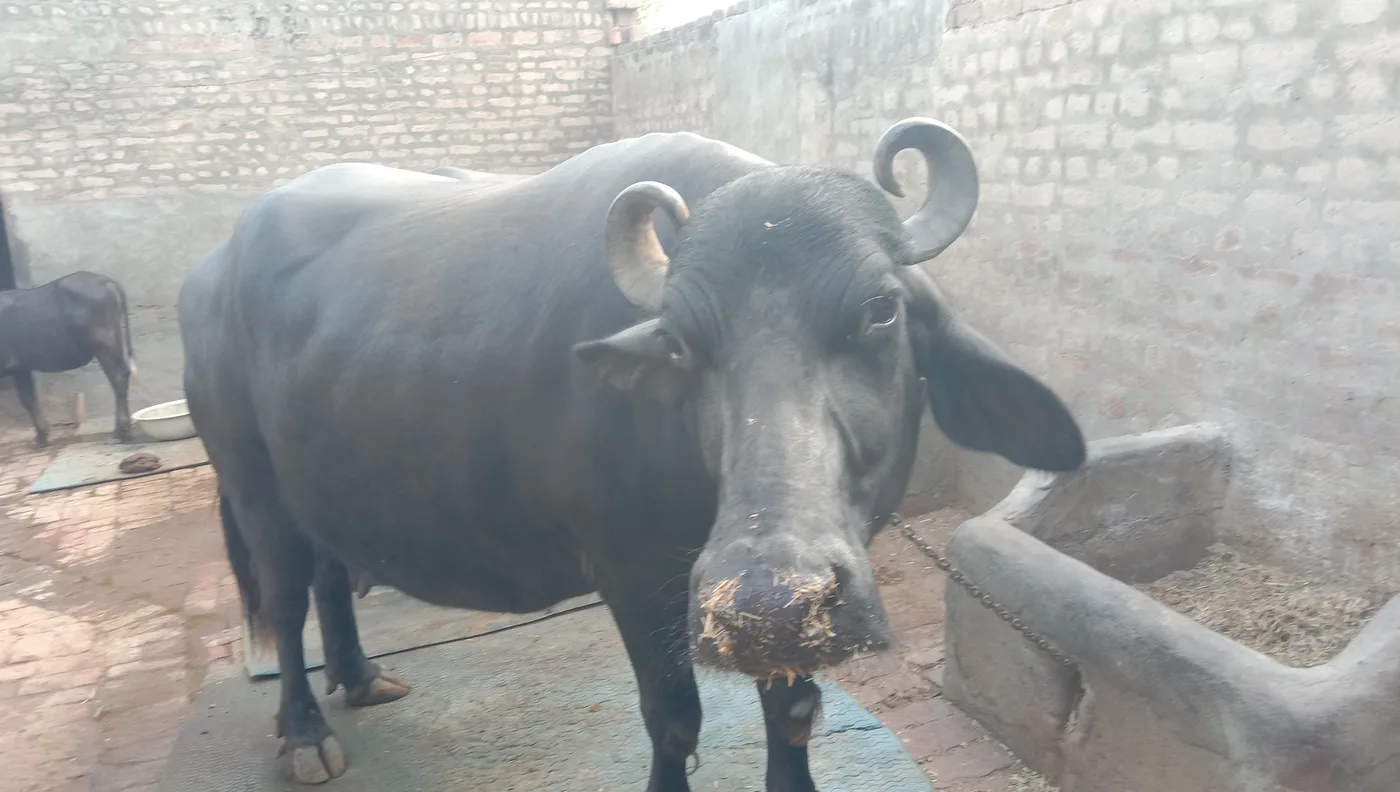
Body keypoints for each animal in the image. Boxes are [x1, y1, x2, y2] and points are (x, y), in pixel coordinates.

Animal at [179, 118, 1086, 790]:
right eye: (680, 341)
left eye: (880, 310)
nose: (769, 595)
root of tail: (209, 274)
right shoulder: (631, 570)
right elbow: (673, 718)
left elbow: (791, 715)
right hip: (253, 487)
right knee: (286, 599)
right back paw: (304, 734)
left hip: (320, 481)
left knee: (332, 572)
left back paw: (364, 677)